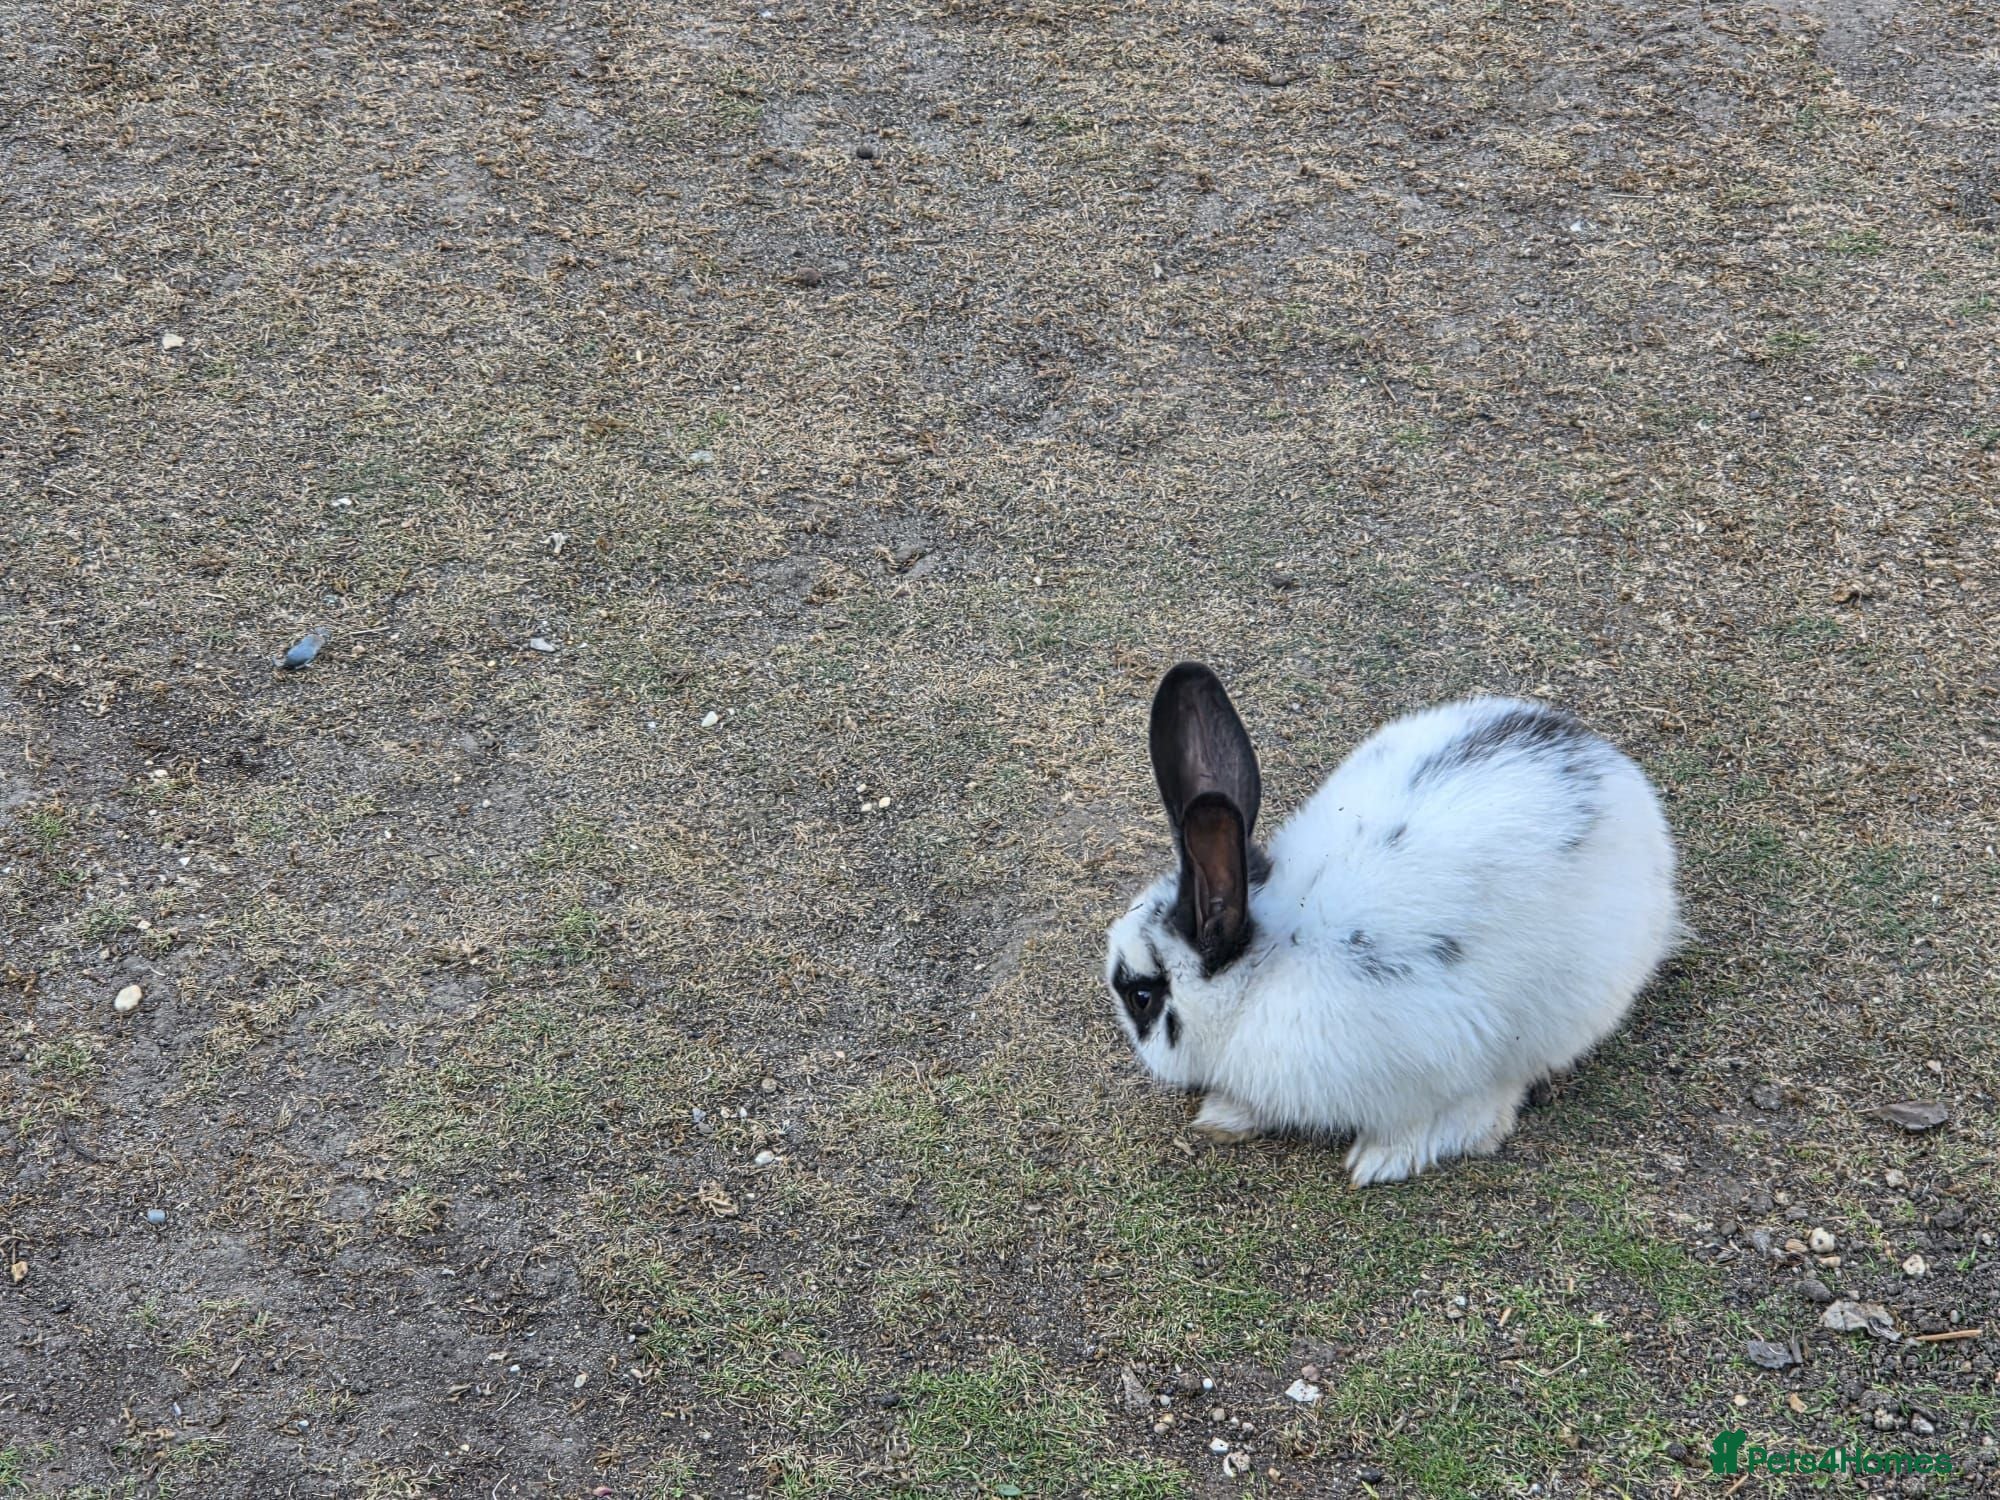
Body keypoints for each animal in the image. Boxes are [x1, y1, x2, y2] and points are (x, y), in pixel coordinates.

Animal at [1104, 662, 1679, 1186]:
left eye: (1141, 997)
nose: (1137, 1050)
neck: (1267, 969)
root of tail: (1619, 778)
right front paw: (1225, 1116)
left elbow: (1423, 1119)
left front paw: (1382, 1161)